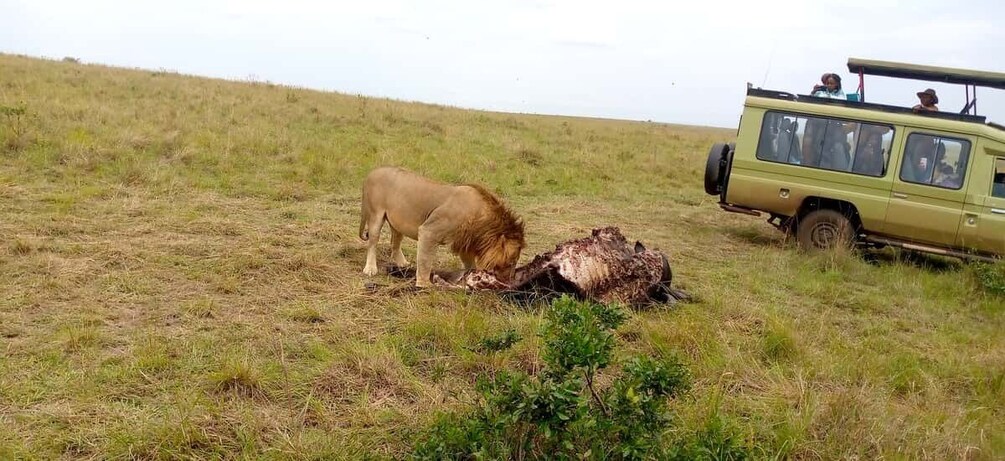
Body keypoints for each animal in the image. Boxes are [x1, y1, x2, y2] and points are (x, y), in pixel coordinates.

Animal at [357, 165, 526, 289]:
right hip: (375, 215)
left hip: (397, 222)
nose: (509, 282)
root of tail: (371, 172)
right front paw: (424, 284)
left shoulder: (464, 241)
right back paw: (370, 269)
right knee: (373, 242)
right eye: (511, 262)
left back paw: (402, 263)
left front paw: (469, 277)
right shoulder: (429, 231)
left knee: (395, 243)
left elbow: (469, 263)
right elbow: (425, 261)